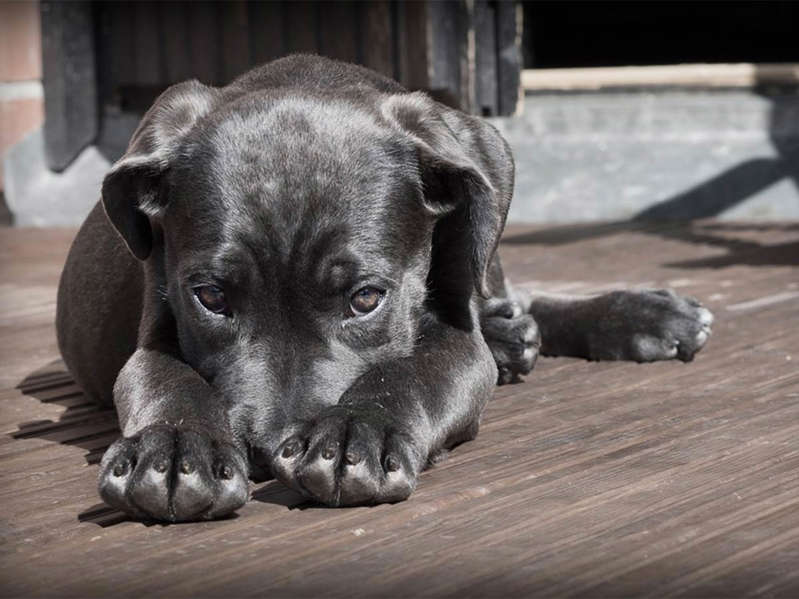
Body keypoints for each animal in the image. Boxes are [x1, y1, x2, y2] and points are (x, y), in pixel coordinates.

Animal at [54, 57, 712, 524]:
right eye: (211, 298)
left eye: (366, 299)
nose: (267, 452)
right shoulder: (155, 326)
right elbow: (164, 378)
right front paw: (171, 448)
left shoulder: (456, 337)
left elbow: (412, 372)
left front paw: (355, 431)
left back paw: (638, 316)